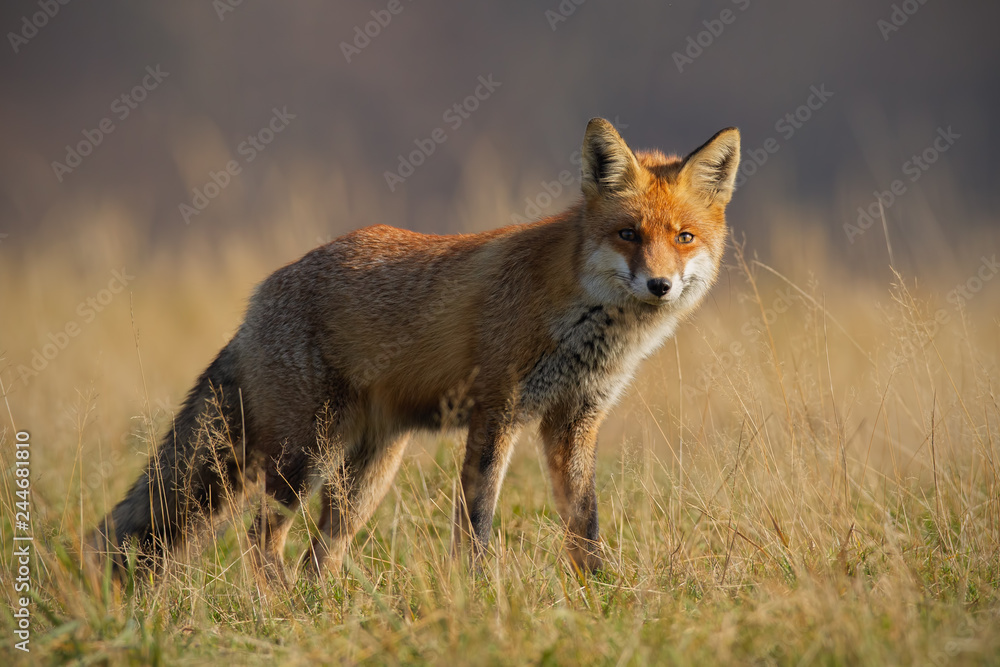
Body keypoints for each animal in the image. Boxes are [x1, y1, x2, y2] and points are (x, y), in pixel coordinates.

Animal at [91, 118, 740, 580]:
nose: (659, 285)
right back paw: (278, 611)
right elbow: (476, 523)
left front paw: (602, 596)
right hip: (305, 455)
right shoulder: (497, 411)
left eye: (684, 237)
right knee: (260, 538)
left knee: (318, 554)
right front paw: (475, 593)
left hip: (366, 475)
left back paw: (321, 613)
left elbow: (586, 525)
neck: (583, 320)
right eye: (628, 234)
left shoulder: (575, 420)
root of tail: (260, 296)